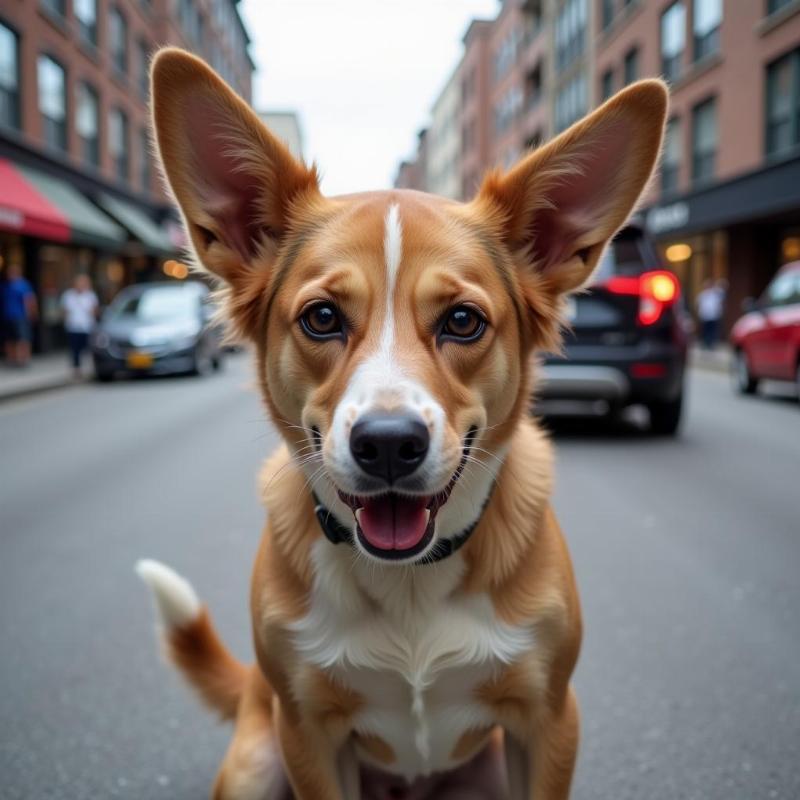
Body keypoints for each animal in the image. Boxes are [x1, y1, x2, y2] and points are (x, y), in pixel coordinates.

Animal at [138, 50, 668, 800]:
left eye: (463, 320)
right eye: (322, 317)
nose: (388, 445)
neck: (411, 580)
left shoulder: (549, 719)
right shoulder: (307, 736)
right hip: (256, 759)